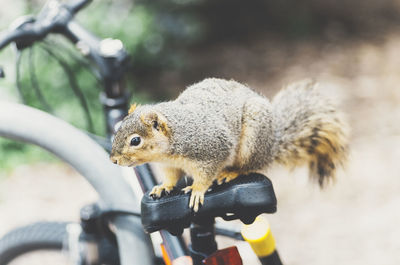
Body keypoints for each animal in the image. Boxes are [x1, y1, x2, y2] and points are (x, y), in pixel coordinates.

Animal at [111, 77, 348, 211]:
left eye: (135, 140)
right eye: (118, 128)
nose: (113, 160)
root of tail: (271, 145)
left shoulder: (212, 149)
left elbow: (205, 175)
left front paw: (197, 190)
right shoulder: (169, 165)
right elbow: (171, 178)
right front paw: (163, 187)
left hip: (252, 142)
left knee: (250, 166)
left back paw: (231, 173)